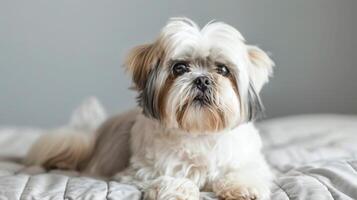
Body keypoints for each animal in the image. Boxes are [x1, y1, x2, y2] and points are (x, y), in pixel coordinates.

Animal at [26, 17, 274, 200]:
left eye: (223, 70)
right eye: (179, 68)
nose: (202, 80)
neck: (199, 132)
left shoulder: (250, 161)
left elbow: (246, 172)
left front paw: (243, 187)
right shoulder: (139, 171)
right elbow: (168, 179)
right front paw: (179, 190)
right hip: (75, 144)